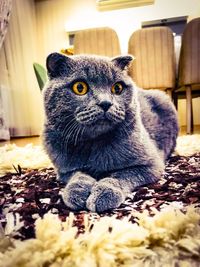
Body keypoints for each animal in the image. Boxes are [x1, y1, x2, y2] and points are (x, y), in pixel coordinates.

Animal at [43, 52, 179, 214]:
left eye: (117, 88)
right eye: (79, 87)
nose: (105, 103)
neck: (93, 143)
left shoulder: (151, 164)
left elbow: (122, 175)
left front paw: (104, 193)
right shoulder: (64, 170)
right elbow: (78, 175)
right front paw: (77, 191)